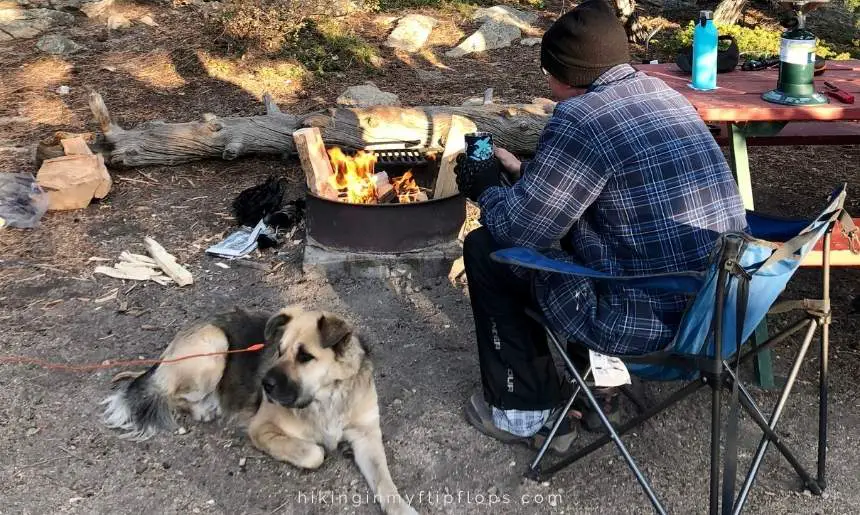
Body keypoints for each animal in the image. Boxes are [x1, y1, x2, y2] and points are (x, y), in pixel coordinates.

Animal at [102, 308, 418, 512]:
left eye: (305, 356)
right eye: (278, 350)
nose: (265, 385)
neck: (326, 396)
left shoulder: (367, 437)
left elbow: (385, 481)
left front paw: (401, 507)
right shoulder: (262, 429)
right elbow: (313, 453)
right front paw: (318, 447)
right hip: (215, 345)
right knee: (171, 394)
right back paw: (204, 408)